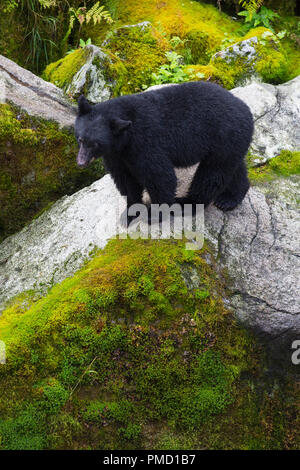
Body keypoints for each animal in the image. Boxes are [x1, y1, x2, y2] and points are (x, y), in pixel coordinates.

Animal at [74, 81, 253, 212]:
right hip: (231, 143)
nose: (81, 163)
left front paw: (155, 213)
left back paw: (188, 202)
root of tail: (246, 110)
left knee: (212, 174)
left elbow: (160, 176)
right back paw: (229, 198)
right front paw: (131, 208)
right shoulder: (116, 154)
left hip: (224, 136)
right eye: (81, 139)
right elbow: (125, 179)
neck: (124, 138)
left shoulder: (145, 143)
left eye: (95, 143)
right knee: (233, 168)